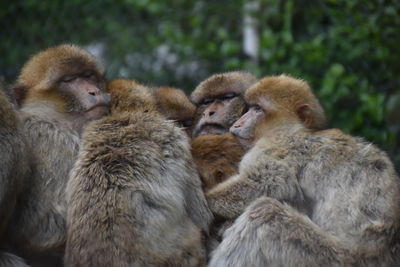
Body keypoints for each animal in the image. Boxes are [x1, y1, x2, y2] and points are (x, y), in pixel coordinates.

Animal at [65, 79, 214, 267]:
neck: (125, 116)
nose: (190, 136)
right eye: (181, 124)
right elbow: (202, 217)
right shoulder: (174, 139)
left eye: (187, 123)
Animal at [206, 74, 400, 266]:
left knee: (266, 212)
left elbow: (264, 183)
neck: (294, 130)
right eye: (249, 108)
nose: (238, 124)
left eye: (257, 109)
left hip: (328, 257)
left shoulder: (276, 146)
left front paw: (207, 202)